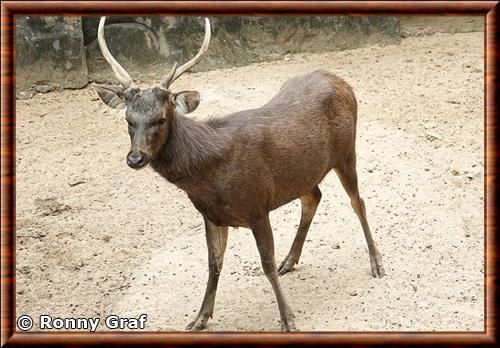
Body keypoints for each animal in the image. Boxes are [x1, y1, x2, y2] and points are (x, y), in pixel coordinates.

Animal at [95, 17, 386, 332]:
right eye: (128, 119)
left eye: (160, 119)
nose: (135, 158)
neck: (209, 179)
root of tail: (342, 82)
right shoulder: (211, 216)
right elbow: (214, 264)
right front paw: (199, 318)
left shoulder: (257, 205)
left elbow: (266, 263)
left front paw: (288, 319)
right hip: (303, 172)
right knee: (313, 197)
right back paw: (290, 260)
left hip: (346, 151)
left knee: (358, 202)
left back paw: (377, 263)